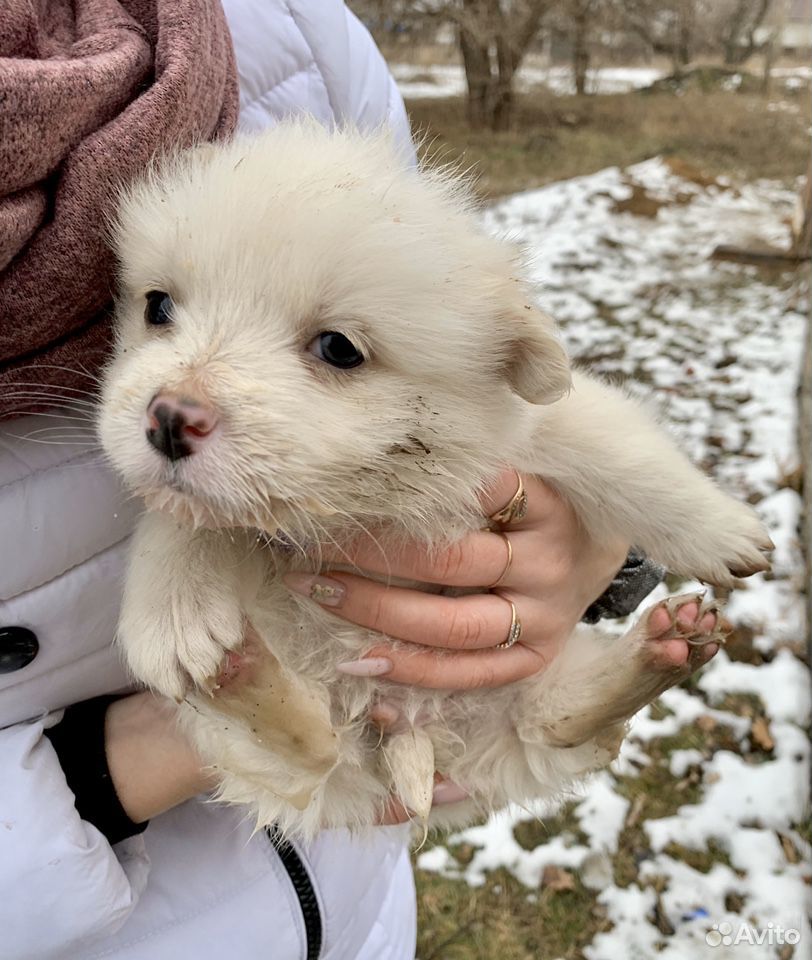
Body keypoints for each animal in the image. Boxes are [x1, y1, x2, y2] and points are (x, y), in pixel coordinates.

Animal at [98, 122, 772, 840]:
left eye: (339, 348)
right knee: (309, 742)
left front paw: (722, 530)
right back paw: (241, 672)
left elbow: (633, 462)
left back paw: (665, 648)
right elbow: (182, 516)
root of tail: (412, 729)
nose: (170, 419)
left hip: (534, 698)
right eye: (158, 306)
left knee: (560, 726)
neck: (370, 499)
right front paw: (174, 617)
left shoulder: (541, 430)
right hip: (235, 746)